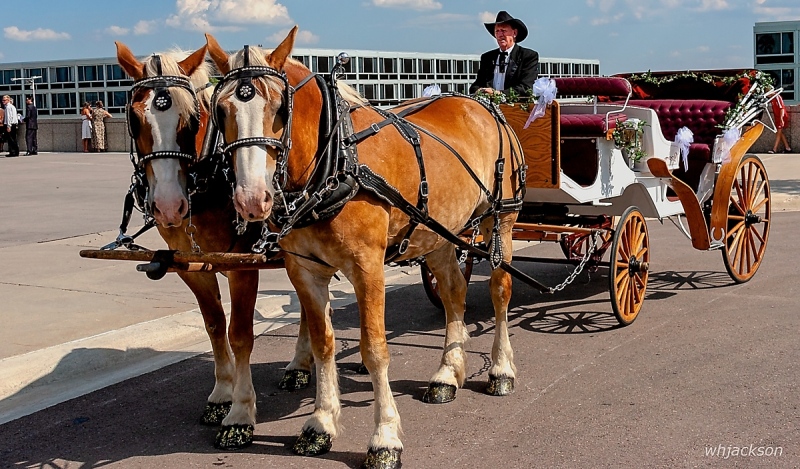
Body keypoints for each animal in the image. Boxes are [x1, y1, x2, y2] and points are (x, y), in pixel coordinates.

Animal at [115, 42, 262, 448]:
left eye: (191, 119)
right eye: (134, 119)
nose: (168, 206)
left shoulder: (244, 264)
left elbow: (240, 334)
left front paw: (240, 413)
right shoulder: (190, 267)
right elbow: (214, 325)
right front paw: (222, 394)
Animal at [203, 30, 520, 468]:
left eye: (280, 107)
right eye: (220, 109)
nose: (252, 199)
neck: (335, 163)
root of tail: (482, 102)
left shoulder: (368, 267)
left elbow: (374, 349)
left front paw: (384, 438)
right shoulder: (303, 269)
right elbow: (322, 344)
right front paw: (320, 423)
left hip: (500, 220)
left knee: (499, 292)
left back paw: (501, 369)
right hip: (438, 231)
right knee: (454, 292)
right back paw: (447, 373)